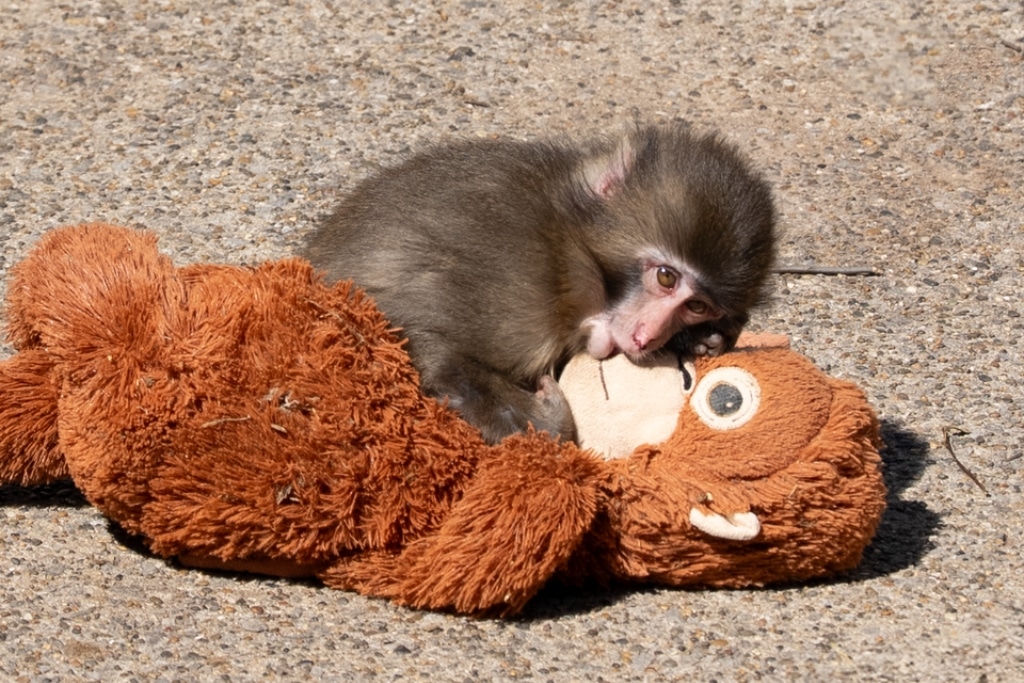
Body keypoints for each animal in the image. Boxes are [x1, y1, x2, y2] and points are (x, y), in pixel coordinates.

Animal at [303, 122, 777, 444]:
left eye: (697, 306)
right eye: (666, 277)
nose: (648, 336)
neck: (568, 246)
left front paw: (701, 340)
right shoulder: (518, 285)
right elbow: (421, 340)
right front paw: (549, 420)